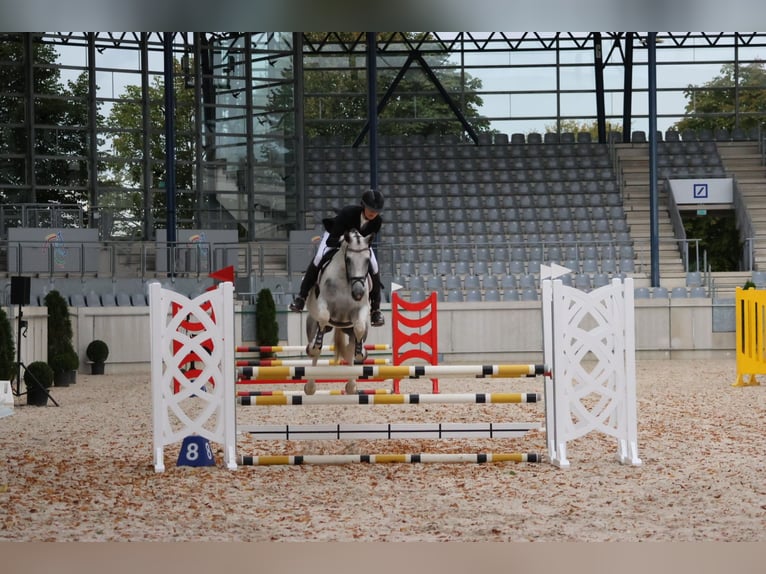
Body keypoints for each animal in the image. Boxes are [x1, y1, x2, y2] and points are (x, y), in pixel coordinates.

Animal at [308, 230, 376, 396]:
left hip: (349, 330)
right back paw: (310, 385)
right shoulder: (323, 303)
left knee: (351, 347)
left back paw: (352, 385)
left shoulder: (361, 309)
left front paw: (360, 352)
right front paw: (316, 344)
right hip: (313, 322)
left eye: (367, 260)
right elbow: (324, 317)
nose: (358, 293)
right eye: (348, 260)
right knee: (315, 352)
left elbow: (359, 327)